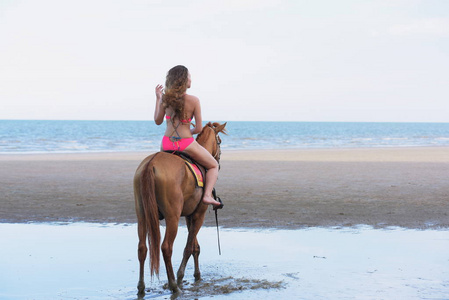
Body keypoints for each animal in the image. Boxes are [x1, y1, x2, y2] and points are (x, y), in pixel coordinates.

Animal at [132, 121, 224, 296]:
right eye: (220, 141)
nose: (218, 162)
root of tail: (151, 163)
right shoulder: (199, 215)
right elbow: (188, 247)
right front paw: (181, 276)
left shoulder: (189, 216)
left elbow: (195, 246)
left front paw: (197, 275)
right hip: (172, 218)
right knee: (166, 247)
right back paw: (174, 285)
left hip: (142, 215)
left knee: (142, 248)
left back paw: (141, 287)